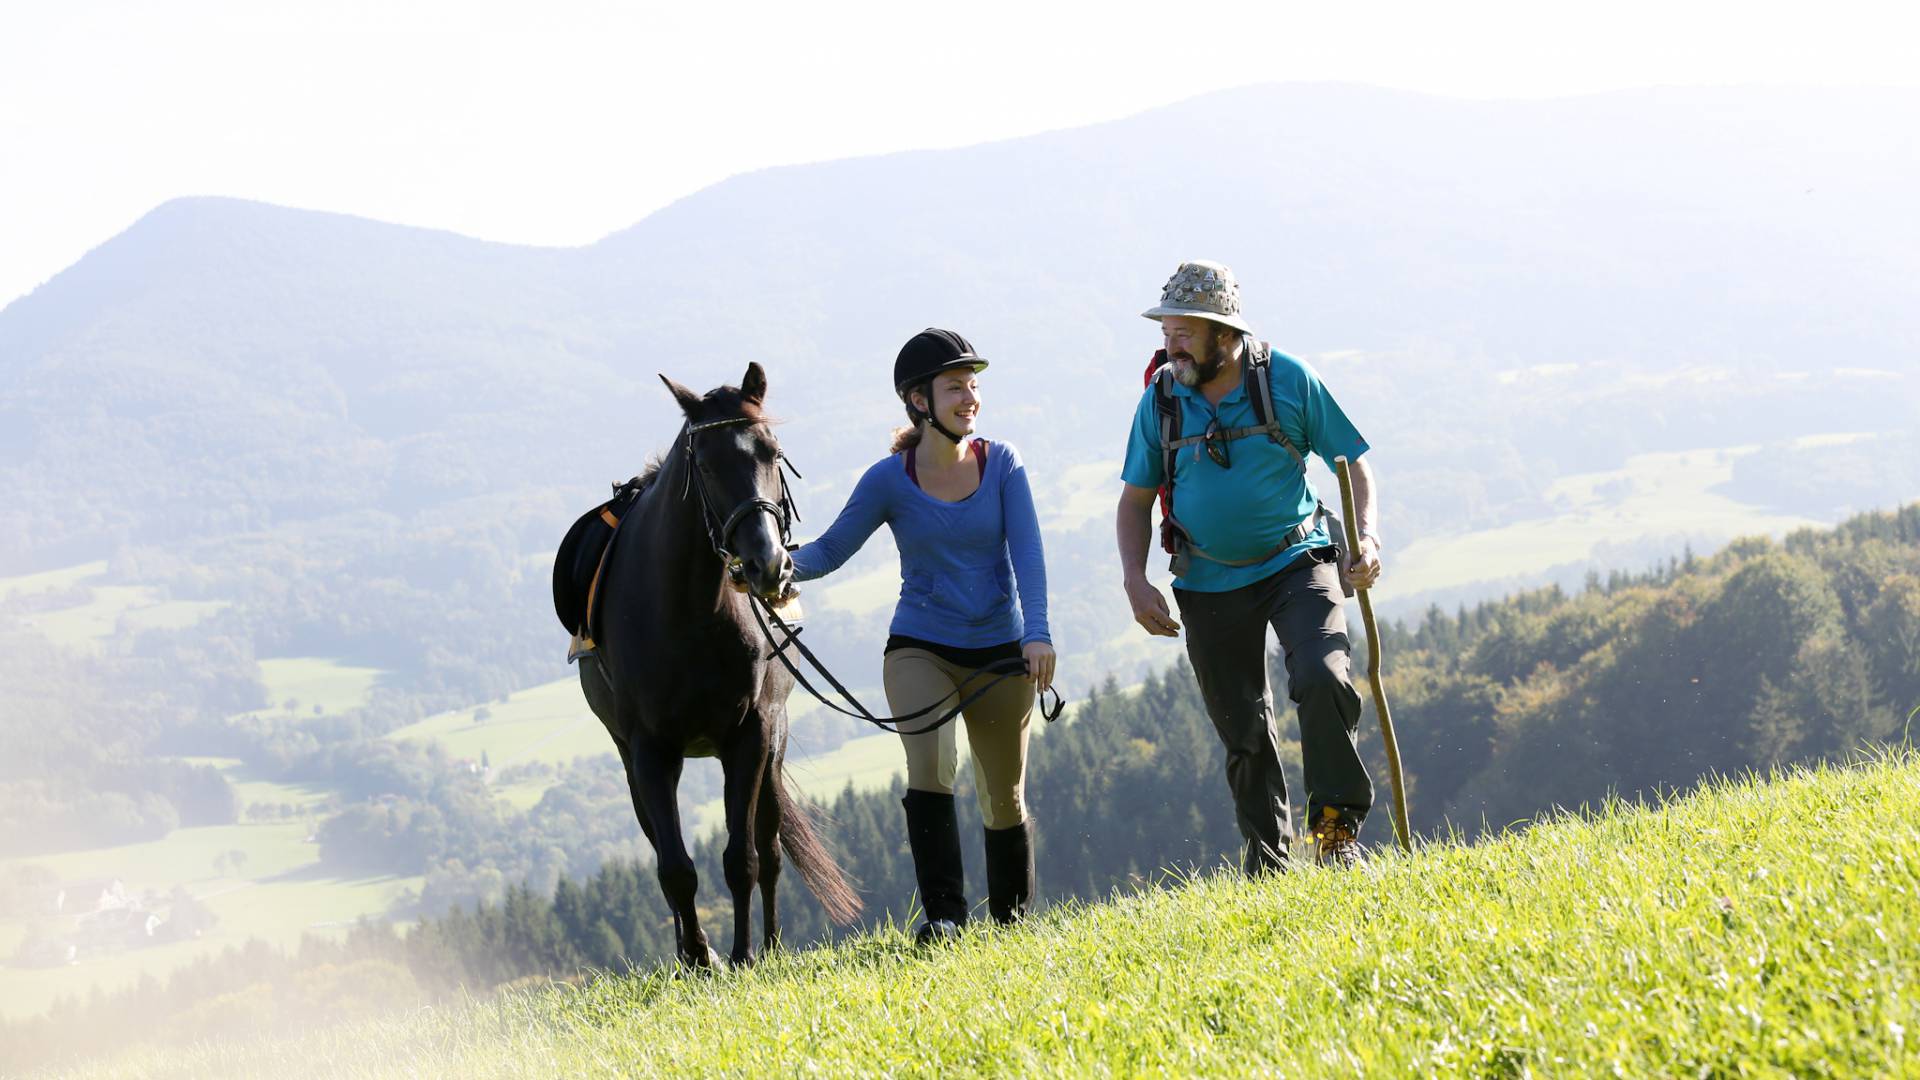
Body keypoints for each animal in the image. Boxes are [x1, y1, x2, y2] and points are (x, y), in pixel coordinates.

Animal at [572, 361, 860, 968]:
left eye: (773, 452)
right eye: (704, 464)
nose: (767, 564)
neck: (688, 612)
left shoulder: (749, 736)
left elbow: (743, 858)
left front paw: (744, 953)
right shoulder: (649, 751)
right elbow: (676, 868)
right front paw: (700, 958)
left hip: (773, 746)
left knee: (770, 848)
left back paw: (770, 945)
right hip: (638, 763)